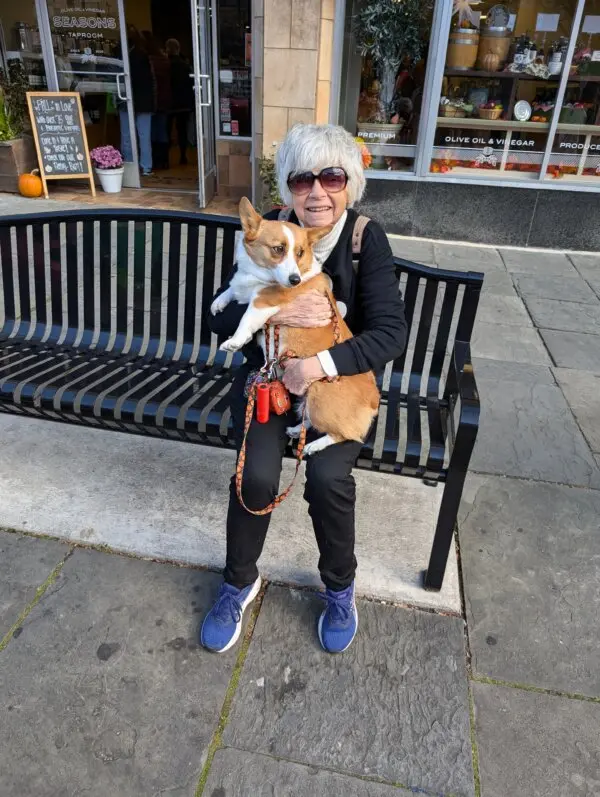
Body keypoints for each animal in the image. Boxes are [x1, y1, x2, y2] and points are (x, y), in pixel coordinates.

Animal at [211, 197, 380, 458]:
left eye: (299, 253)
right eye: (278, 249)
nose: (295, 280)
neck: (259, 275)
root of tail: (374, 402)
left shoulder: (263, 301)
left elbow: (246, 318)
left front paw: (235, 341)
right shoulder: (243, 286)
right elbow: (231, 289)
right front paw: (218, 303)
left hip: (320, 394)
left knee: (344, 434)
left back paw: (313, 445)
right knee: (309, 418)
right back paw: (295, 430)